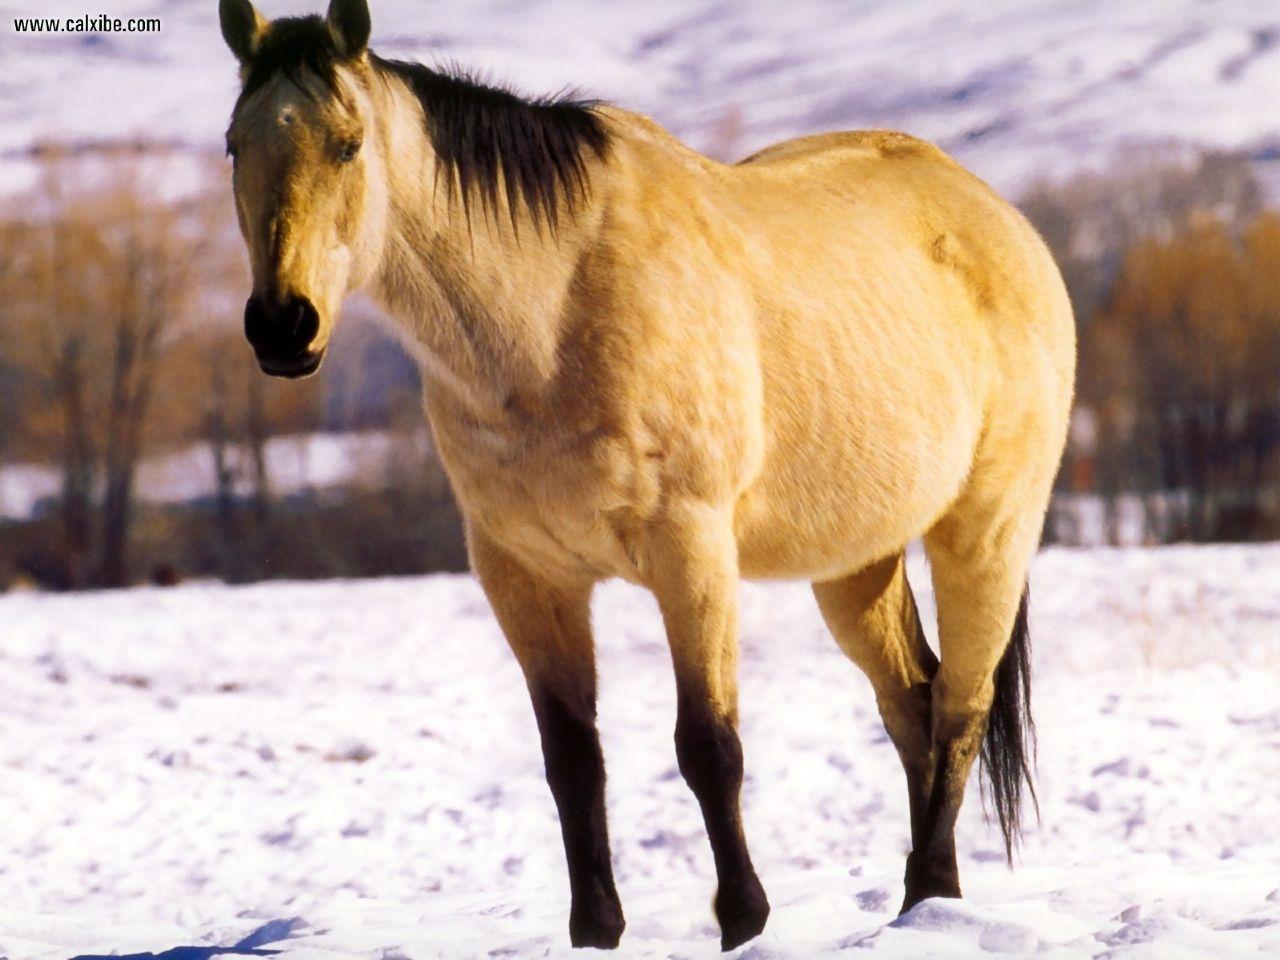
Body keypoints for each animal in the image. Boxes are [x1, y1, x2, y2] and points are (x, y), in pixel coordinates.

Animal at [218, 0, 1075, 949]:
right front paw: (596, 931)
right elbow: (572, 760)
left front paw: (745, 924)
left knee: (960, 707)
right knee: (911, 704)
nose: (283, 327)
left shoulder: (690, 550)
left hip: (986, 531)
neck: (550, 320)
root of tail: (997, 218)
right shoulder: (526, 575)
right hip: (856, 560)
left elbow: (708, 747)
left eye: (347, 143)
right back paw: (924, 903)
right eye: (233, 146)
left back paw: (931, 894)